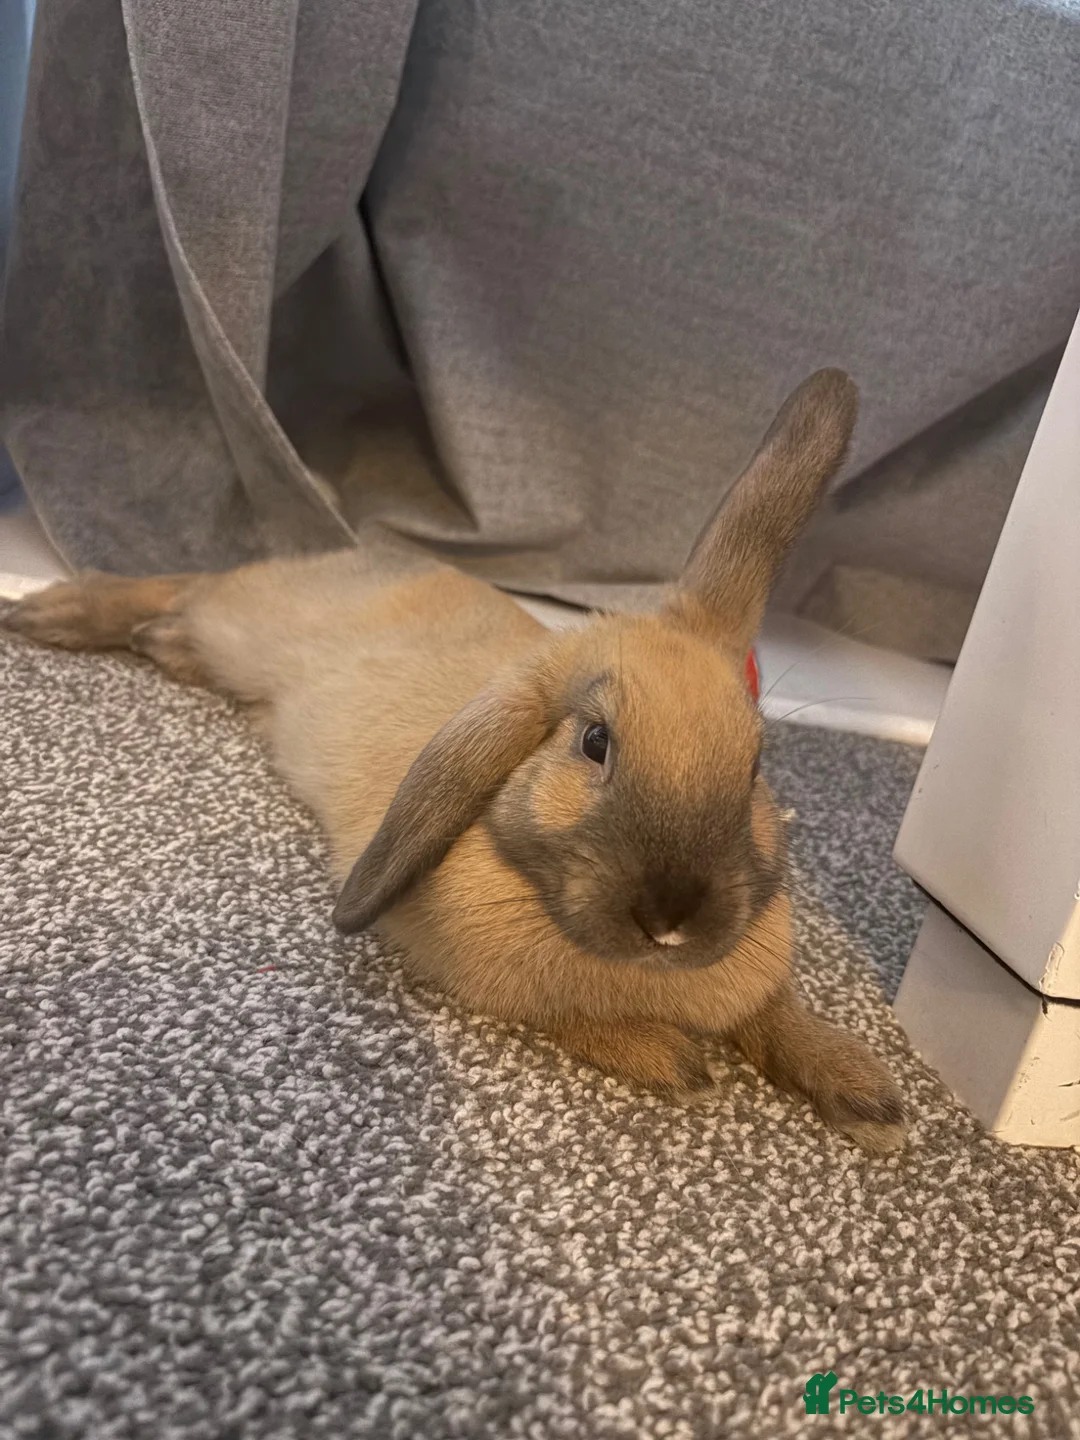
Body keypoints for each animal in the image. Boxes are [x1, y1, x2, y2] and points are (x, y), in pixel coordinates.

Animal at [4, 369, 906, 1154]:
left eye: (754, 765)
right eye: (595, 742)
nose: (672, 918)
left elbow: (780, 1018)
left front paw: (867, 1095)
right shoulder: (486, 979)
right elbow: (581, 1020)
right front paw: (675, 1062)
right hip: (245, 618)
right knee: (180, 584)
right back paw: (51, 614)